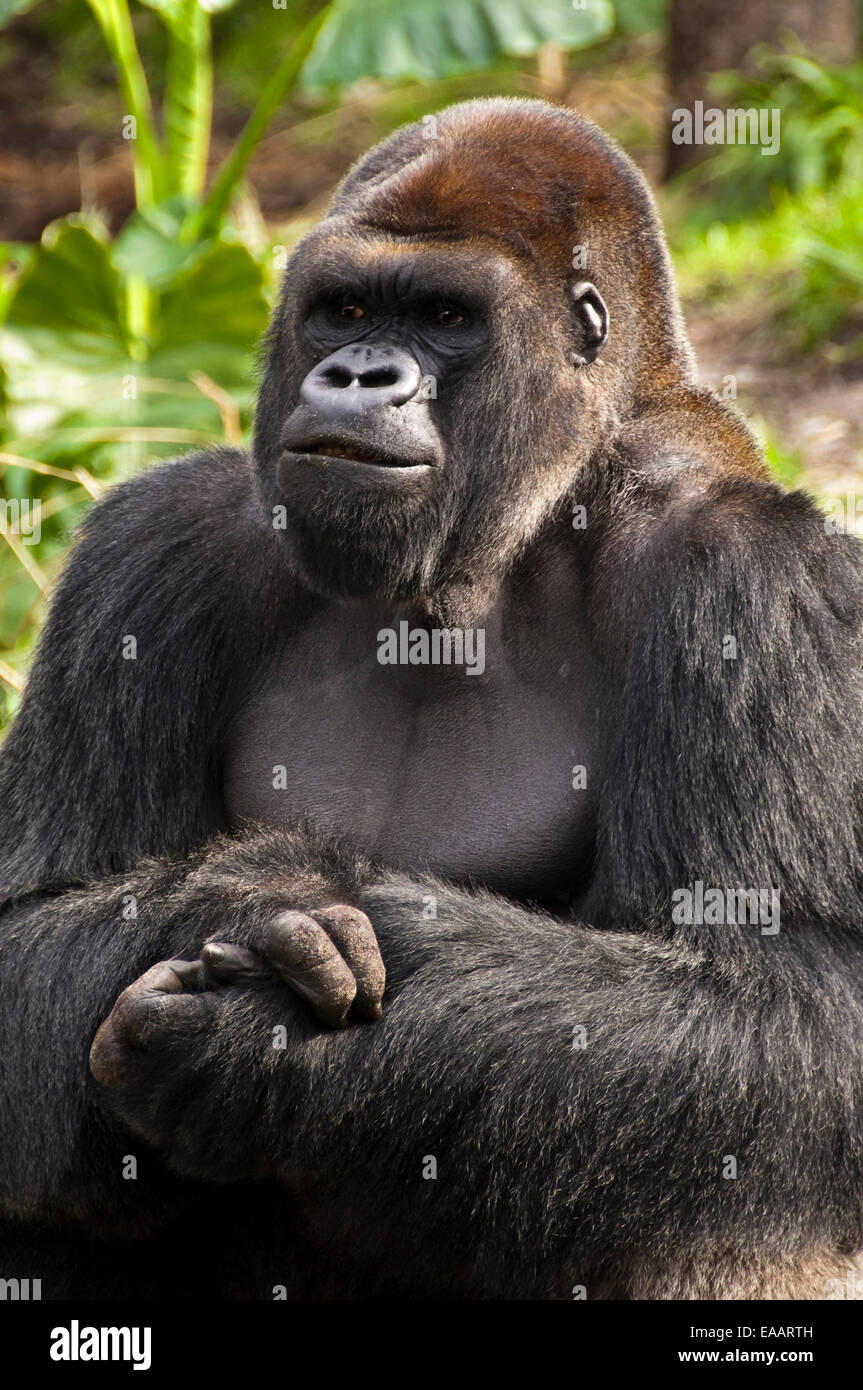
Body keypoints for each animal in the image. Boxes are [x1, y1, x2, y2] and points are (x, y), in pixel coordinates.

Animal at [1, 100, 861, 1301]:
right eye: (347, 309)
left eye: (446, 317)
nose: (359, 377)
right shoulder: (154, 545)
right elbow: (26, 925)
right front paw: (243, 897)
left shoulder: (751, 573)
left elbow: (787, 1010)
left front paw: (261, 1048)